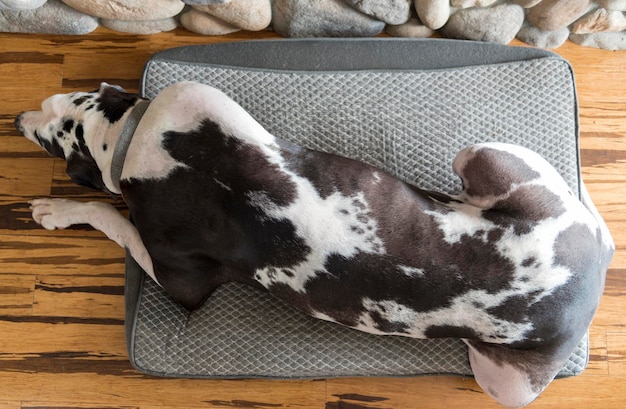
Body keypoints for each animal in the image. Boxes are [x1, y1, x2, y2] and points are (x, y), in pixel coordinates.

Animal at [12, 81, 612, 406]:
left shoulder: (182, 283)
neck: (133, 141)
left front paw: (61, 209)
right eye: (52, 104)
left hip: (506, 380)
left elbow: (112, 218)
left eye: (46, 137)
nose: (16, 117)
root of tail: (586, 286)